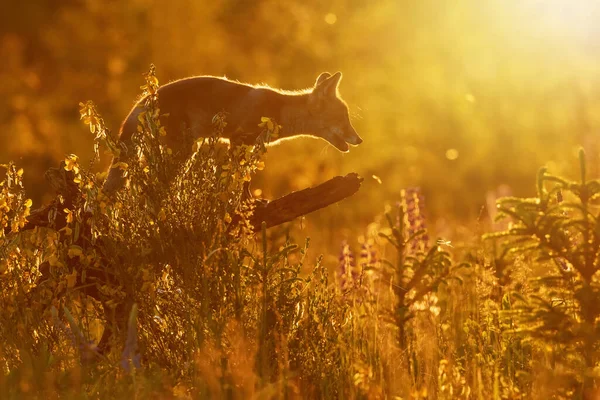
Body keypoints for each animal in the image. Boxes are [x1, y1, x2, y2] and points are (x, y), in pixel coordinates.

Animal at [104, 72, 360, 194]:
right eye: (343, 119)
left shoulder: (243, 143)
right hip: (182, 150)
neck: (279, 112)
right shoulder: (239, 139)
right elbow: (234, 179)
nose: (359, 139)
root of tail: (144, 99)